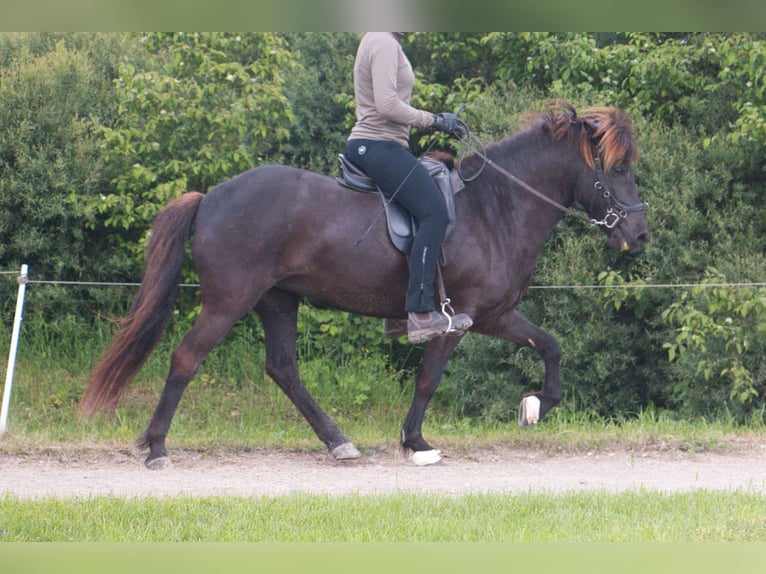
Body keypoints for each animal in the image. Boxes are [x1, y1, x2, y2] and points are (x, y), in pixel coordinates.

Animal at [79, 101, 656, 470]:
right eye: (616, 169)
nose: (639, 235)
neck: (496, 208)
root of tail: (210, 197)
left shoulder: (492, 315)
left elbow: (551, 346)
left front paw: (535, 406)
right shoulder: (455, 320)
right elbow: (428, 380)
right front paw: (416, 442)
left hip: (277, 301)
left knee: (283, 369)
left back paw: (339, 443)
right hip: (229, 300)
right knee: (186, 358)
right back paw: (157, 449)